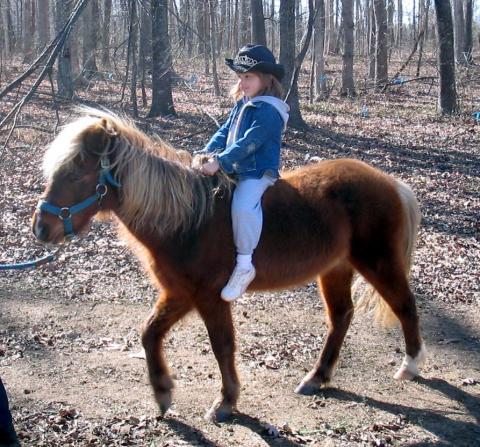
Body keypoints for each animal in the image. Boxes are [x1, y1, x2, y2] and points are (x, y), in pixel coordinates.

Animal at [31, 108, 426, 424]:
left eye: (77, 174)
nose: (41, 228)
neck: (188, 218)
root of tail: (391, 183)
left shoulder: (210, 297)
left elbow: (222, 345)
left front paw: (226, 402)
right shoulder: (179, 294)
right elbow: (149, 333)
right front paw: (163, 393)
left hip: (378, 263)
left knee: (404, 306)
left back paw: (410, 366)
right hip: (335, 269)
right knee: (342, 316)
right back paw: (317, 377)